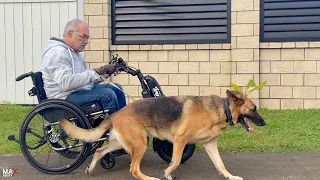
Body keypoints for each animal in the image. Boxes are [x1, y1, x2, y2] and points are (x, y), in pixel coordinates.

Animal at [59, 90, 264, 179]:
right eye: (253, 110)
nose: (264, 123)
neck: (222, 109)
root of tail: (116, 113)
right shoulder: (180, 141)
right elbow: (175, 160)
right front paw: (167, 173)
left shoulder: (210, 145)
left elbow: (220, 165)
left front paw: (230, 177)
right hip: (140, 143)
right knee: (134, 169)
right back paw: (151, 179)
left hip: (121, 143)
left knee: (99, 151)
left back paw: (91, 168)